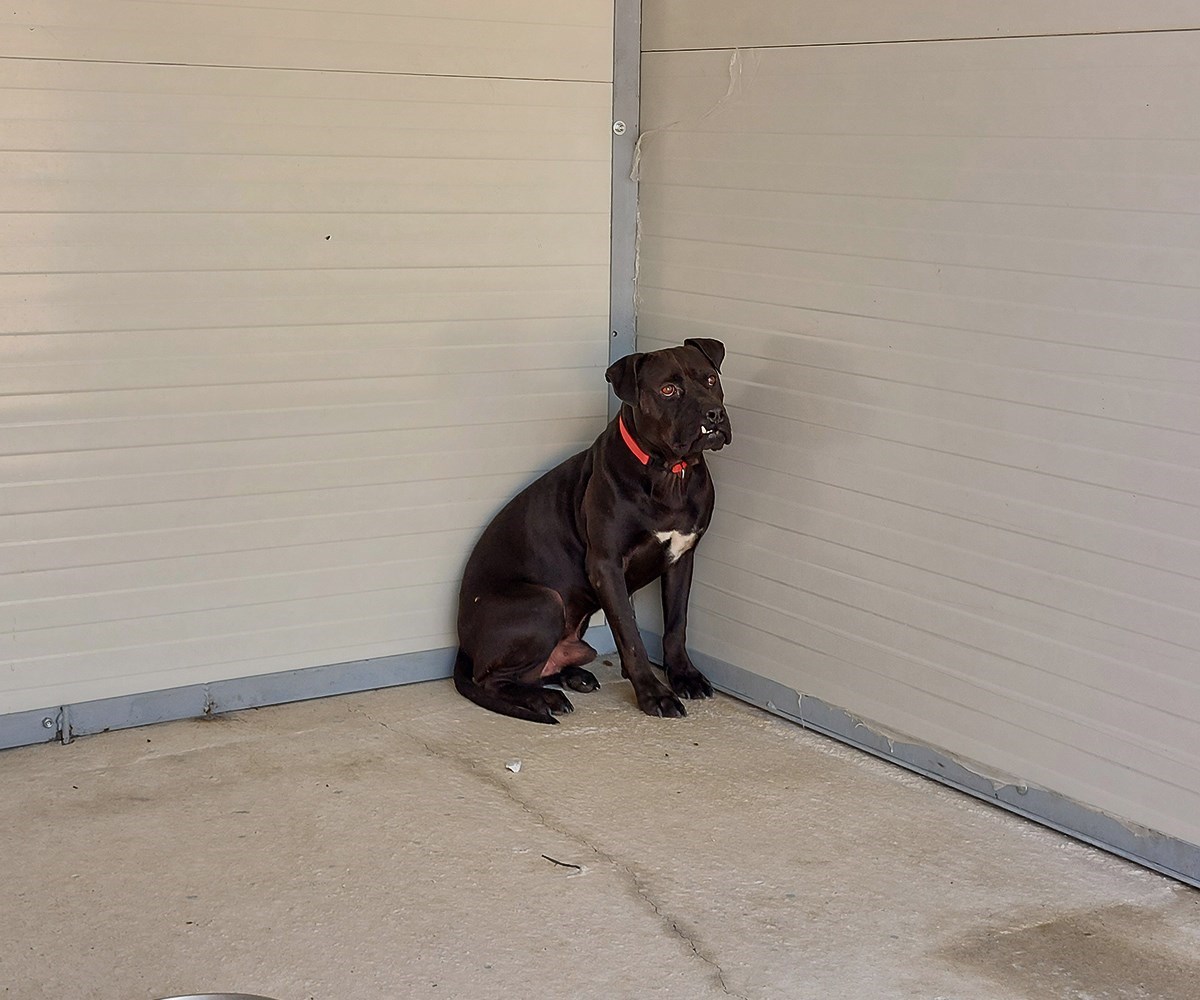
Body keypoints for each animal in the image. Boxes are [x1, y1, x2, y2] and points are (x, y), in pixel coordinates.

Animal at [453, 338, 732, 723]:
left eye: (709, 380)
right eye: (668, 390)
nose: (713, 415)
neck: (669, 473)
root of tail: (463, 647)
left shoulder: (682, 558)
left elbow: (676, 625)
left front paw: (683, 676)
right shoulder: (606, 566)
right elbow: (630, 636)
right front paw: (654, 694)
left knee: (538, 668)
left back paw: (574, 676)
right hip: (545, 601)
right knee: (492, 680)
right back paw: (544, 699)